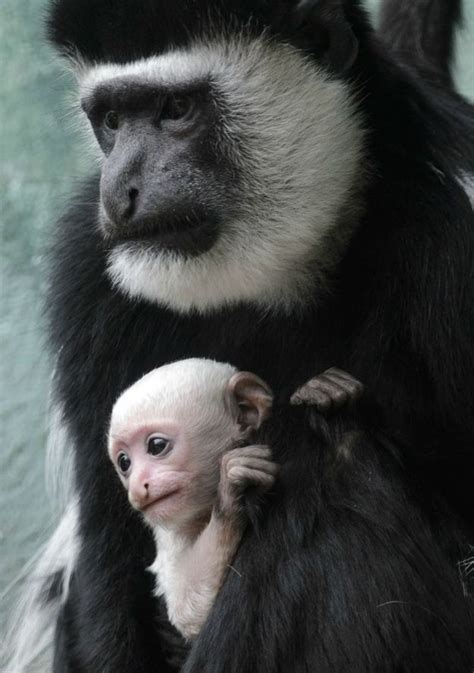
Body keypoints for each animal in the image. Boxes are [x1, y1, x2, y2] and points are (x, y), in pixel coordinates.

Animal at [108, 360, 360, 636]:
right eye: (124, 462)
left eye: (156, 446)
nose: (137, 488)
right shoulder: (170, 533)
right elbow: (189, 611)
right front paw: (231, 493)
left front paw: (326, 389)